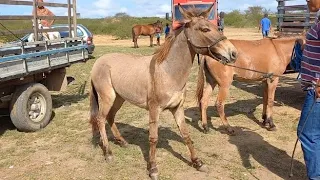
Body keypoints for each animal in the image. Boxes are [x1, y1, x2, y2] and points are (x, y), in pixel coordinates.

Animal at [89, 3, 236, 179]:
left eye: (217, 26)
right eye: (205, 29)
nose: (233, 53)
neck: (167, 71)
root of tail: (99, 61)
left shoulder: (177, 108)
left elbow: (186, 134)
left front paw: (197, 162)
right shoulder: (154, 109)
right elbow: (153, 138)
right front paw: (152, 168)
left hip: (119, 98)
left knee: (110, 117)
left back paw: (122, 142)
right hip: (108, 98)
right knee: (100, 119)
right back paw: (108, 153)